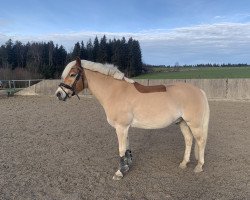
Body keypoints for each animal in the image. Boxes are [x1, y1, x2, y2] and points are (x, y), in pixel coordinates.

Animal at [55, 58, 210, 181]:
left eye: (72, 74)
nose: (58, 94)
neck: (115, 91)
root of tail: (199, 91)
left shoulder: (121, 127)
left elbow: (121, 149)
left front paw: (119, 172)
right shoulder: (124, 127)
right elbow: (127, 148)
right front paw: (127, 166)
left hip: (194, 124)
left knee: (201, 141)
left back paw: (199, 166)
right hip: (182, 122)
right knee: (189, 140)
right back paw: (184, 163)